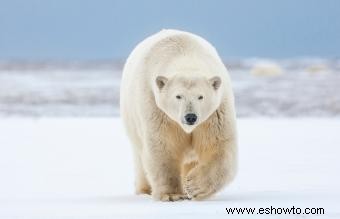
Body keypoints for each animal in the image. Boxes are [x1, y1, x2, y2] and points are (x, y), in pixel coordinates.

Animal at [121, 29, 238, 202]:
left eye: (200, 96)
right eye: (178, 96)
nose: (190, 117)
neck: (184, 53)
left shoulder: (216, 113)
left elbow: (218, 146)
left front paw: (194, 187)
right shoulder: (157, 108)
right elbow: (163, 146)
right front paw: (172, 195)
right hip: (133, 123)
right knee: (140, 158)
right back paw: (144, 190)